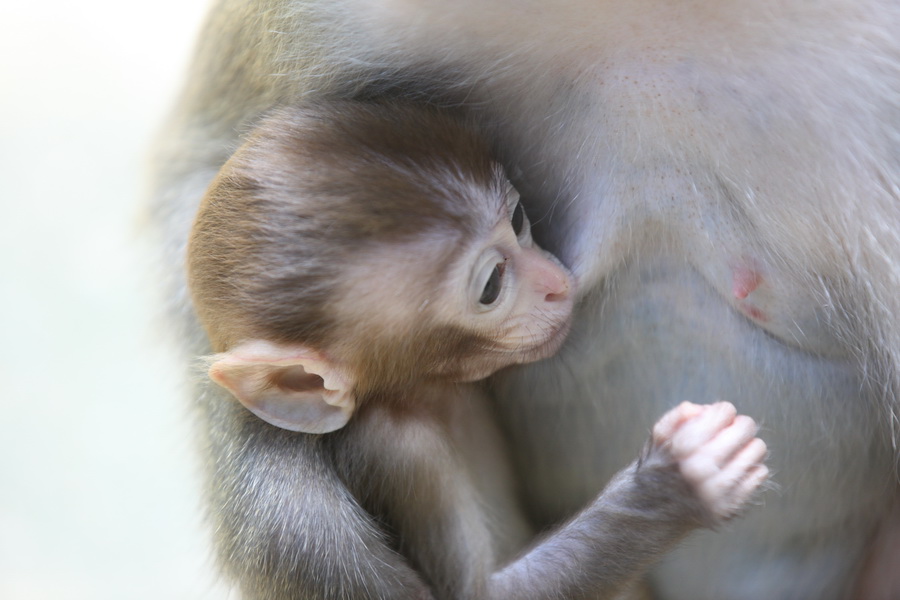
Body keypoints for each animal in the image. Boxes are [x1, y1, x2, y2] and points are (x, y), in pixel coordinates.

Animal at [188, 103, 768, 600]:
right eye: (492, 285)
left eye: (518, 221)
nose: (555, 285)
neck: (428, 394)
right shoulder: (402, 451)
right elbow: (478, 594)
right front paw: (679, 480)